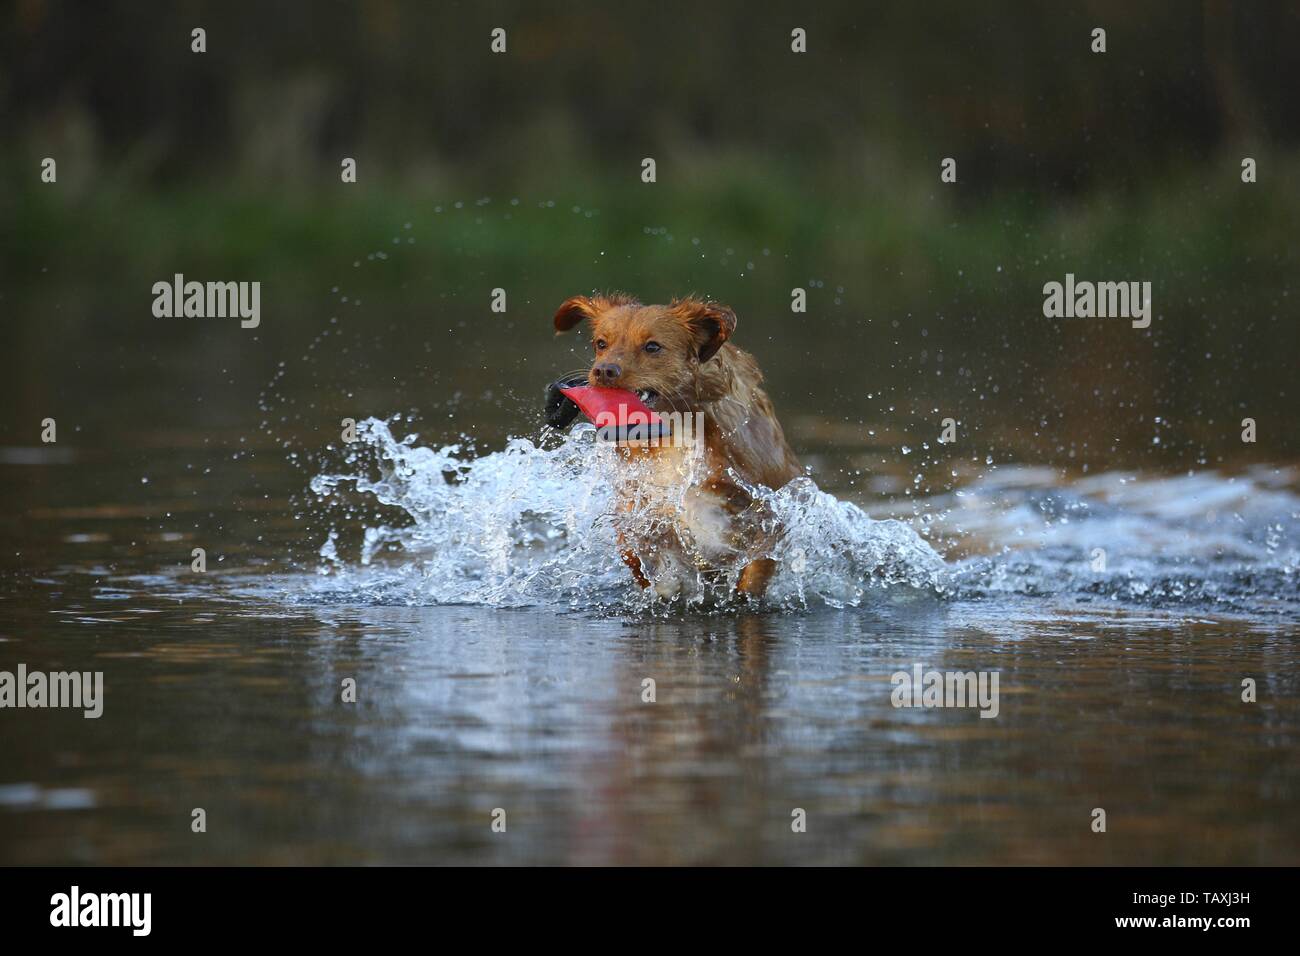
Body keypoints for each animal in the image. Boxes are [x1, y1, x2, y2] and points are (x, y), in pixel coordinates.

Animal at [540, 295, 800, 600]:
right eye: (601, 343)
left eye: (652, 346)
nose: (603, 371)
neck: (675, 432)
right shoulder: (639, 504)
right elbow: (636, 548)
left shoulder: (765, 506)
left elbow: (755, 566)